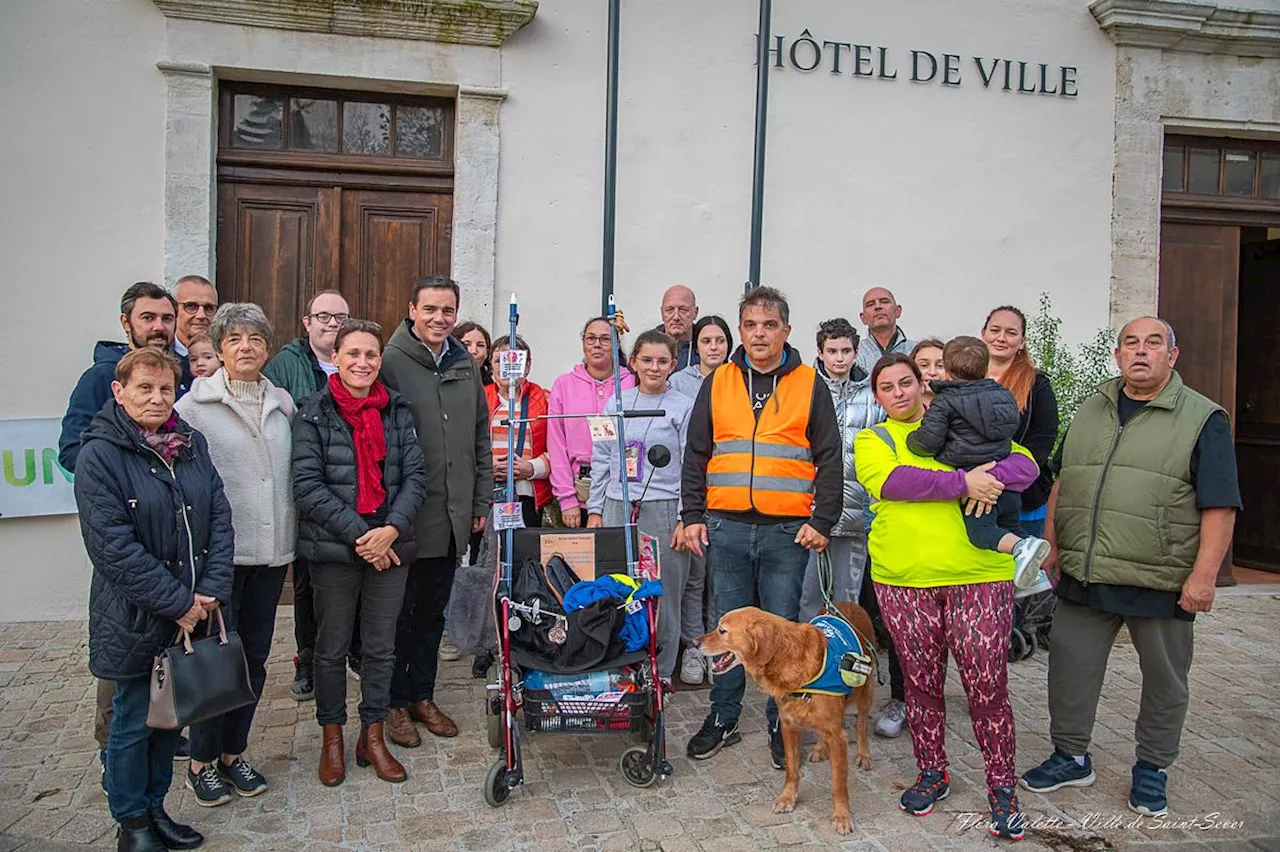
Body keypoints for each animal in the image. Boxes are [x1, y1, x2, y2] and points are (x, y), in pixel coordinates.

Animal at [696, 601, 875, 834]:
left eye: (722, 630)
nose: (694, 642)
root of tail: (849, 603)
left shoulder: (837, 736)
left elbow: (838, 783)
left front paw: (842, 817)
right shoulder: (788, 725)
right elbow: (791, 769)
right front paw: (787, 798)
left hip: (865, 690)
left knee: (862, 723)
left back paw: (863, 754)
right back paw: (820, 748)